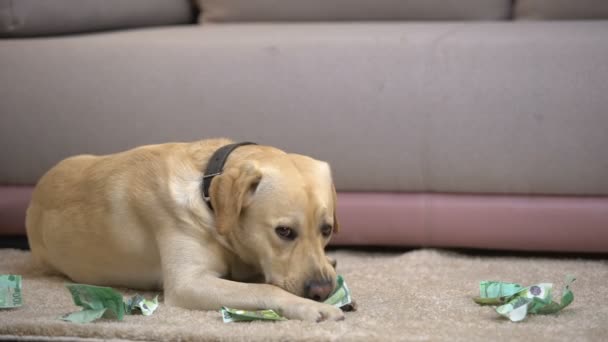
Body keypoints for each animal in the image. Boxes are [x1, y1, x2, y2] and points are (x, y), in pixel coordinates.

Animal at [26, 138, 344, 322]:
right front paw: (311, 307)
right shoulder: (189, 283)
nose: (322, 290)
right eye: (284, 232)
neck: (208, 195)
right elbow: (264, 288)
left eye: (326, 229)